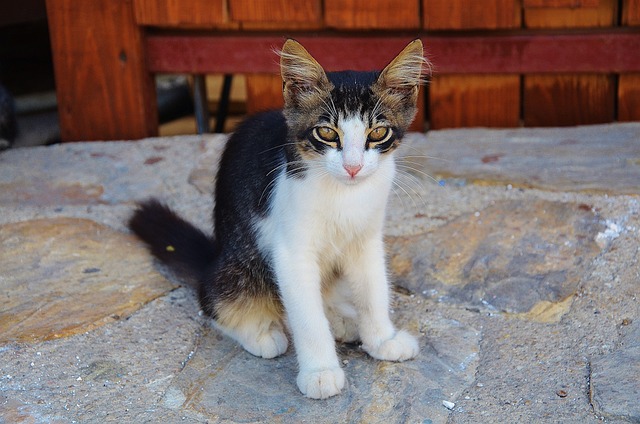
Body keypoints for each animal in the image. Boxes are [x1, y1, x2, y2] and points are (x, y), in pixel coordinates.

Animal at [129, 38, 430, 400]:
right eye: (326, 132)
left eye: (379, 132)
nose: (353, 166)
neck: (345, 194)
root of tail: (214, 258)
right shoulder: (290, 251)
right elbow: (306, 316)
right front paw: (320, 371)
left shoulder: (367, 240)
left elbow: (374, 291)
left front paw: (383, 339)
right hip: (236, 270)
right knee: (213, 303)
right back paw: (260, 333)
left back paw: (340, 317)